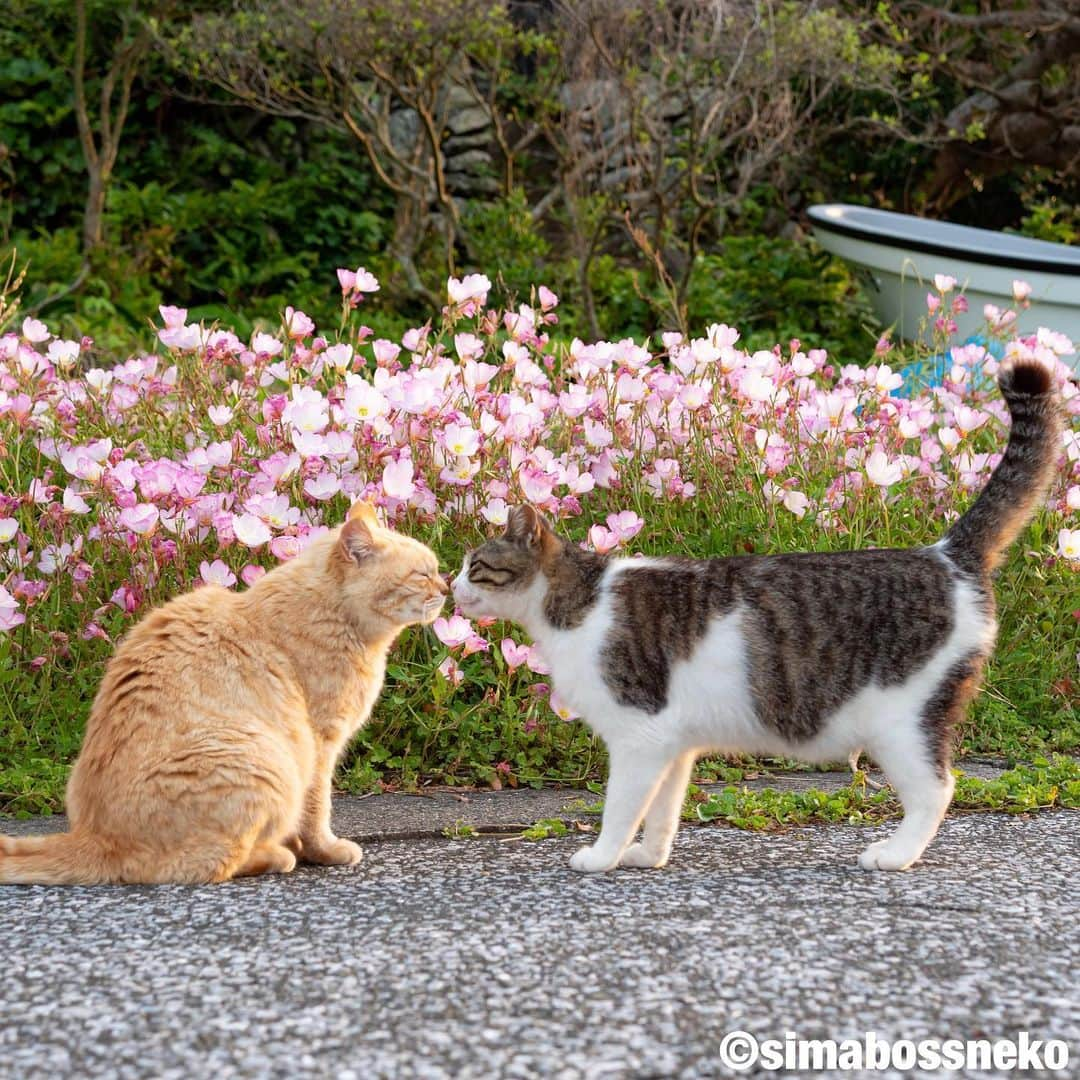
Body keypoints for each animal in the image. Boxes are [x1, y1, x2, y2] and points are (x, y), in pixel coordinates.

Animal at [0, 501, 447, 881]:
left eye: (438, 570)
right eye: (423, 574)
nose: (446, 589)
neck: (337, 615)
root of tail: (93, 837)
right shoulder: (321, 743)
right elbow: (317, 810)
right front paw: (323, 851)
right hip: (266, 760)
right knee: (212, 864)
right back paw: (275, 855)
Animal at [449, 358, 1062, 872]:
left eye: (475, 566)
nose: (449, 587)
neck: (580, 601)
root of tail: (943, 553)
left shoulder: (638, 735)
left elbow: (620, 807)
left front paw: (602, 857)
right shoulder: (672, 745)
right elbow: (662, 811)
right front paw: (648, 856)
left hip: (902, 720)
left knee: (938, 789)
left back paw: (894, 854)